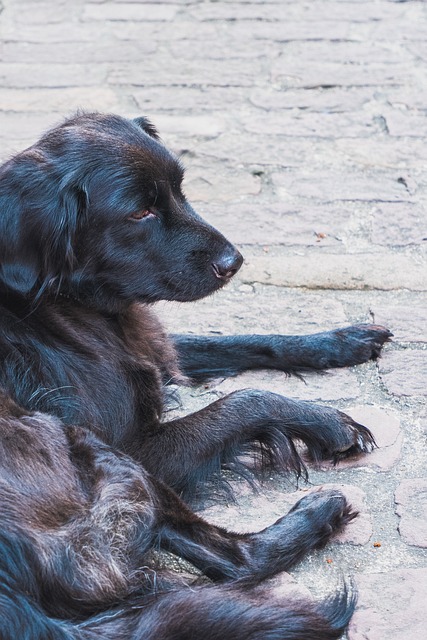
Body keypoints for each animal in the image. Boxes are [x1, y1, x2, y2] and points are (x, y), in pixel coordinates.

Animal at [0, 115, 392, 640]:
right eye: (140, 212)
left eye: (180, 191)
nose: (235, 262)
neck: (61, 299)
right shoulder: (138, 446)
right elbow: (245, 400)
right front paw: (327, 422)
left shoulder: (153, 348)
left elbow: (243, 338)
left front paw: (340, 340)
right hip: (98, 453)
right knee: (236, 561)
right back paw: (319, 513)